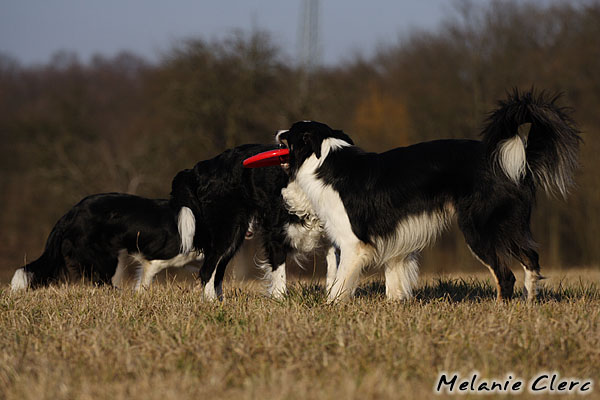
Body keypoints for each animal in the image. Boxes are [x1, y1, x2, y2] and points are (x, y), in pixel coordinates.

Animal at [170, 143, 336, 300]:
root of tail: (197, 169)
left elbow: (334, 273)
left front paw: (333, 301)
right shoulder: (275, 236)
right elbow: (279, 274)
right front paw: (280, 300)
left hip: (235, 237)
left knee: (218, 272)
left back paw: (221, 303)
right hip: (226, 232)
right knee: (207, 270)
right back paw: (211, 302)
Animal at [276, 90, 581, 302]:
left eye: (290, 133)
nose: (277, 131)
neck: (324, 159)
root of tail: (515, 160)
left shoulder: (353, 243)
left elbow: (339, 284)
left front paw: (330, 306)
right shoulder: (395, 239)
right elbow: (394, 278)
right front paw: (395, 305)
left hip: (479, 229)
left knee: (505, 275)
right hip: (509, 226)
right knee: (531, 259)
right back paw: (529, 305)